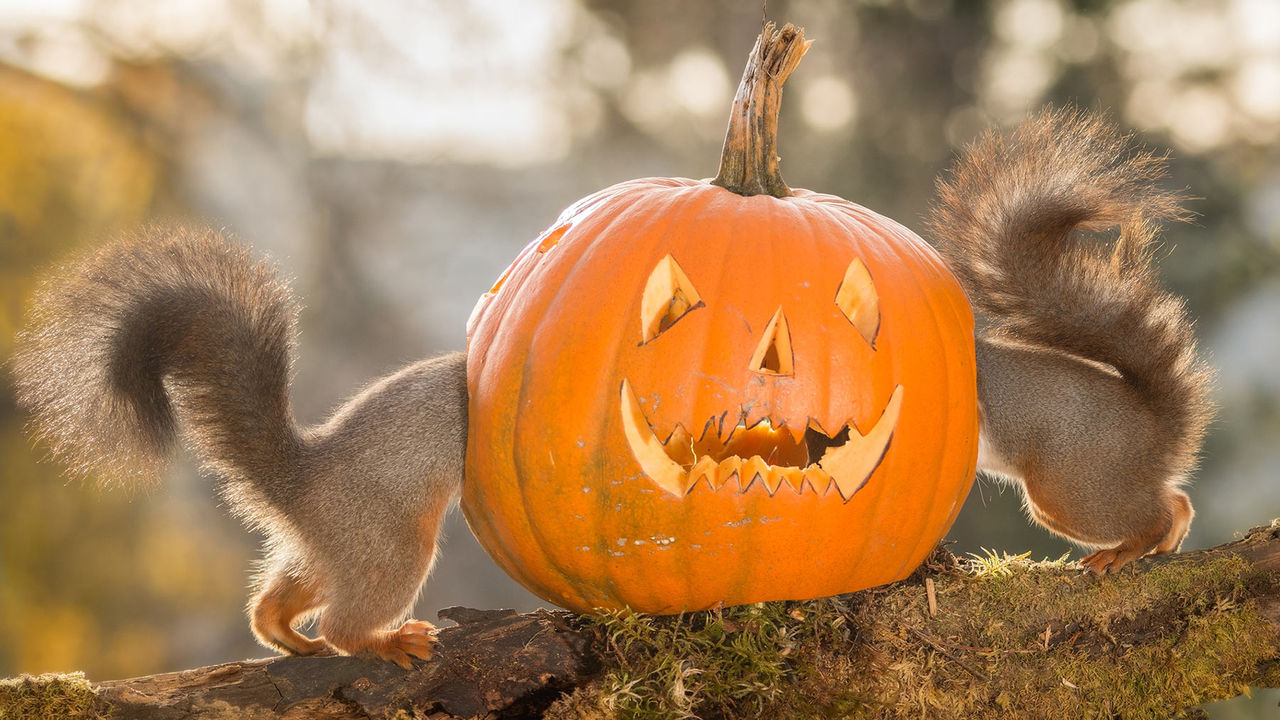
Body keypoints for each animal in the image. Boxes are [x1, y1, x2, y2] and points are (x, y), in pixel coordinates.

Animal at [11, 228, 469, 667]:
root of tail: (297, 484)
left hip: (337, 552)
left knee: (271, 605)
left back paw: (293, 639)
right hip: (390, 547)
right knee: (342, 627)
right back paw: (390, 642)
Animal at [928, 108, 1216, 573]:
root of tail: (1159, 430)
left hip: (1070, 487)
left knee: (1155, 515)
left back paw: (1121, 552)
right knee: (1177, 501)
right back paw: (1162, 544)